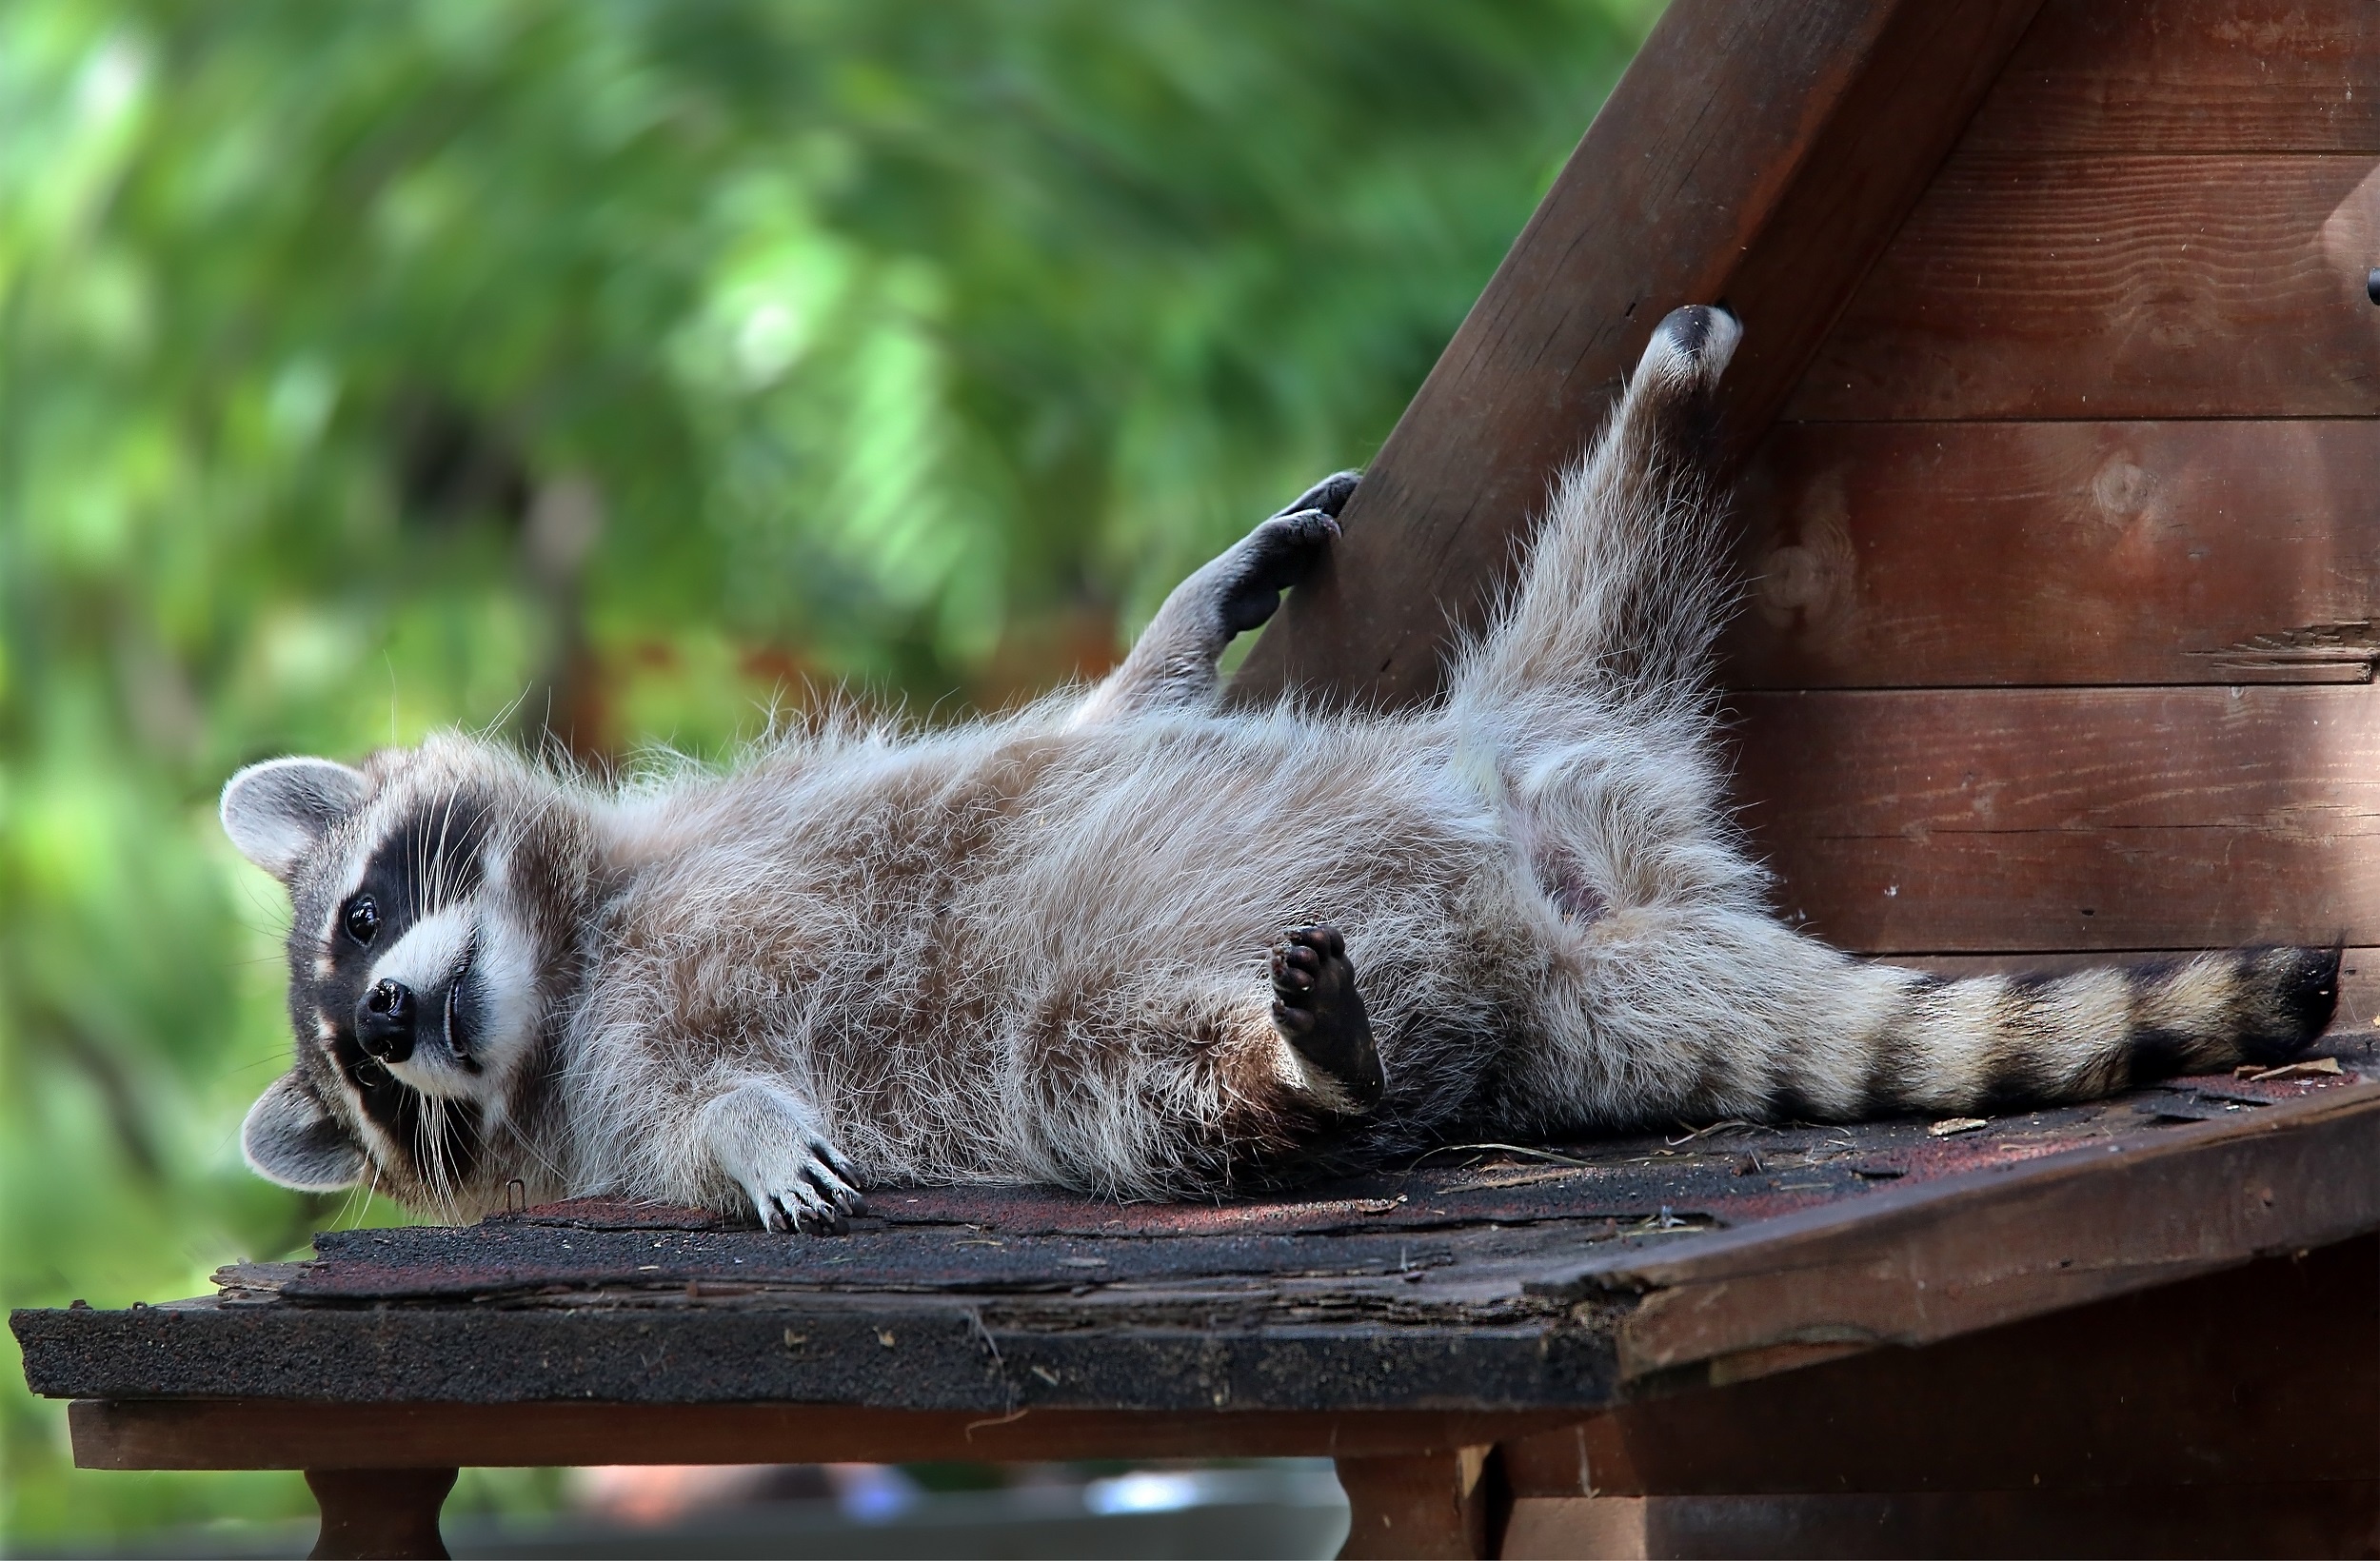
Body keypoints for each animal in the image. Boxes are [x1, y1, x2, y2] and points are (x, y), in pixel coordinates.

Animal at [227, 305, 2342, 1228]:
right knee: (1154, 1087)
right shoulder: (608, 1088)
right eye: (375, 1085)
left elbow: (1088, 723)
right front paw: (749, 1142)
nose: (396, 1019)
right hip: (1169, 1024)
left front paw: (1186, 615)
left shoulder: (764, 808)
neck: (580, 950)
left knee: (1611, 574)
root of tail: (1571, 941)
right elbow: (682, 1127)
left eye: (365, 918)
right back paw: (1296, 1065)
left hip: (1552, 726)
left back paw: (1664, 409)